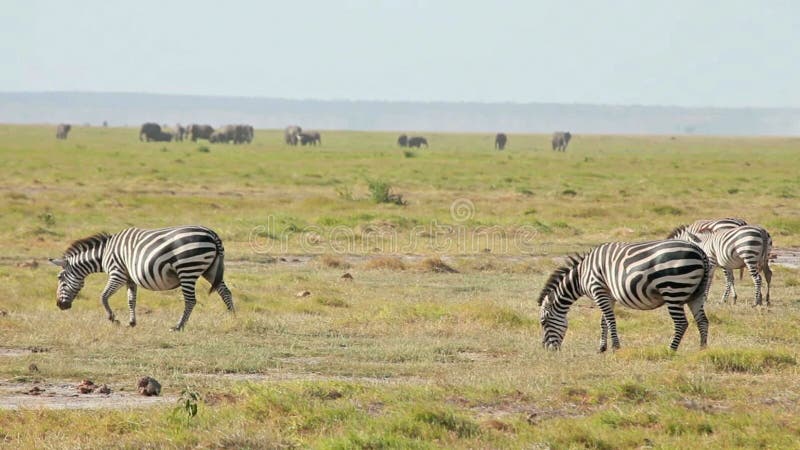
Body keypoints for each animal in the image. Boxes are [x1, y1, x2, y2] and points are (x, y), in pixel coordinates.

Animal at [49, 225, 233, 330]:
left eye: (60, 278)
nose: (59, 305)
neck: (103, 254)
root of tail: (212, 234)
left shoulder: (117, 273)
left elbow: (103, 296)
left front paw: (113, 319)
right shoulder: (130, 278)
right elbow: (131, 300)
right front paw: (131, 323)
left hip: (187, 269)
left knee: (190, 301)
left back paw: (178, 326)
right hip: (210, 269)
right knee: (225, 292)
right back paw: (233, 318)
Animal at [540, 241, 708, 354]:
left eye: (543, 322)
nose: (547, 349)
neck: (581, 275)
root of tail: (699, 250)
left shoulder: (598, 289)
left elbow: (610, 320)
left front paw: (615, 347)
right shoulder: (608, 295)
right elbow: (603, 322)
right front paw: (602, 347)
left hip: (672, 289)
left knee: (681, 323)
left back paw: (670, 350)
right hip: (696, 294)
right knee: (702, 321)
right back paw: (702, 350)